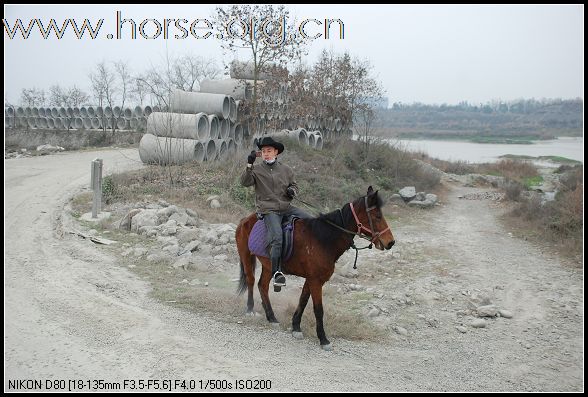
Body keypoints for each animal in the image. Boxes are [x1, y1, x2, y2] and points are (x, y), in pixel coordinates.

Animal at [234, 186, 396, 350]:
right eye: (377, 216)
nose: (391, 242)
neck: (322, 239)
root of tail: (245, 219)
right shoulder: (316, 281)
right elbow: (318, 309)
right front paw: (323, 339)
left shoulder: (311, 279)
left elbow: (303, 301)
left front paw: (296, 327)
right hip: (246, 255)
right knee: (251, 280)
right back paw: (250, 310)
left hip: (268, 265)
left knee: (263, 286)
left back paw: (271, 317)